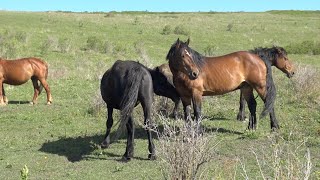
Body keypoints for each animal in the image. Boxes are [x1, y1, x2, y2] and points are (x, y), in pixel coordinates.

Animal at [168, 39, 296, 129]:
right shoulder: (184, 96)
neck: (183, 75)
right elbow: (187, 114)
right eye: (183, 55)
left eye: (190, 54)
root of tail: (258, 58)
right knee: (252, 105)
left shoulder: (196, 93)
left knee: (268, 103)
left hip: (260, 87)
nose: (195, 73)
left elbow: (197, 113)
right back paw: (251, 127)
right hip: (247, 88)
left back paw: (274, 126)